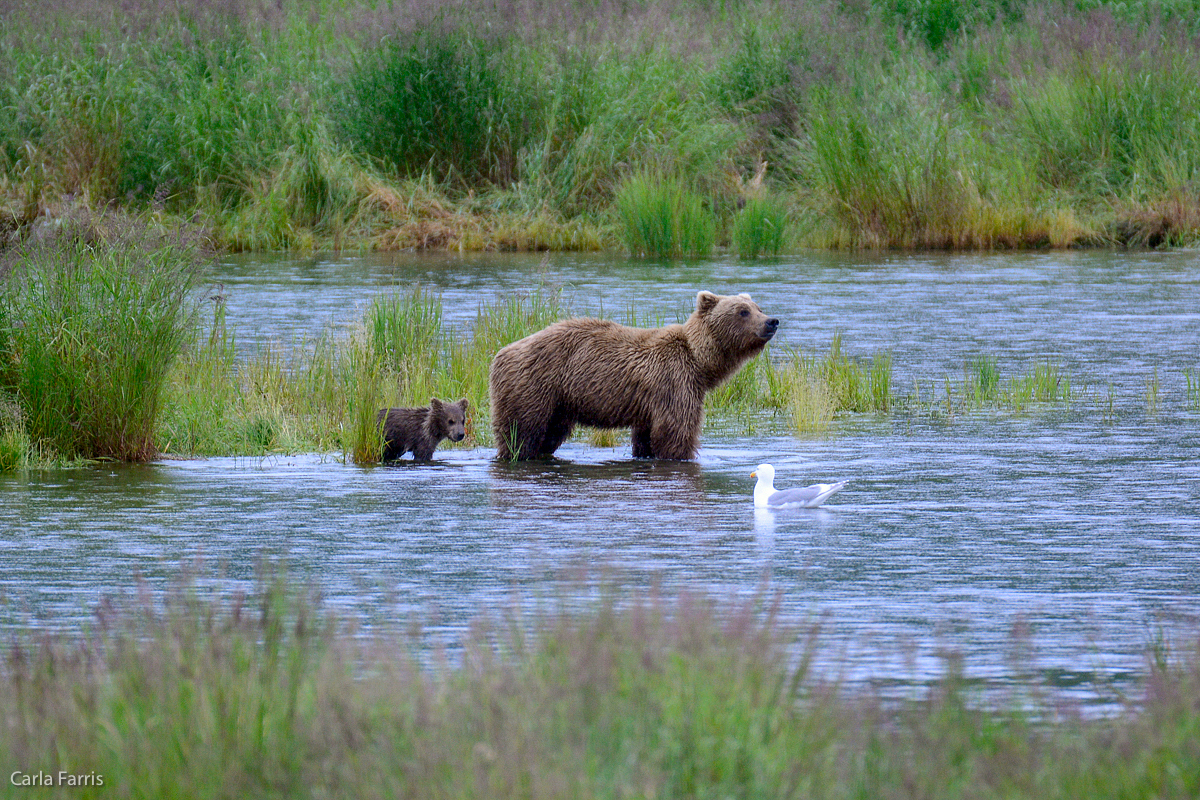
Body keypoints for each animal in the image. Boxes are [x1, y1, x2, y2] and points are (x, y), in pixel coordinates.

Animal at [487, 291, 777, 460]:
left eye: (758, 306)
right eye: (742, 311)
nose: (771, 321)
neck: (700, 363)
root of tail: (500, 353)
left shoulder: (652, 403)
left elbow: (645, 438)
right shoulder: (675, 382)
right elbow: (676, 433)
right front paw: (682, 454)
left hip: (558, 403)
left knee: (548, 435)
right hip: (533, 385)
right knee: (520, 434)